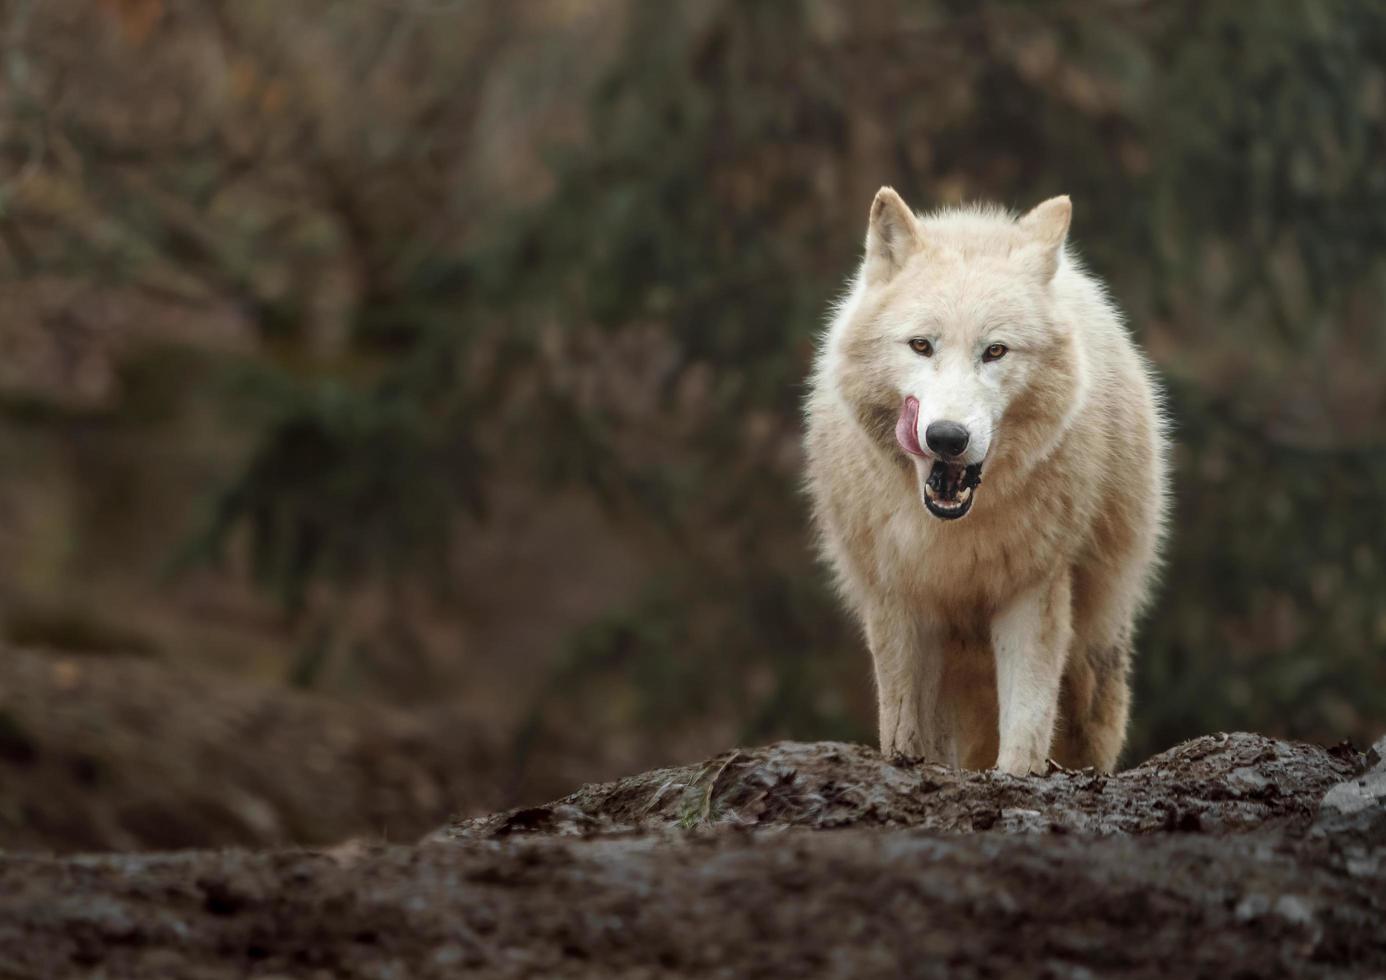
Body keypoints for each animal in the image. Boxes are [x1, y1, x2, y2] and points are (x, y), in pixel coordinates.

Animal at [803, 188, 1169, 776]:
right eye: (921, 345)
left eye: (995, 351)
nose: (947, 437)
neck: (954, 533)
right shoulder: (898, 600)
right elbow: (903, 727)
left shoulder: (1033, 589)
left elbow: (1027, 723)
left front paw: (1018, 776)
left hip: (1094, 660)